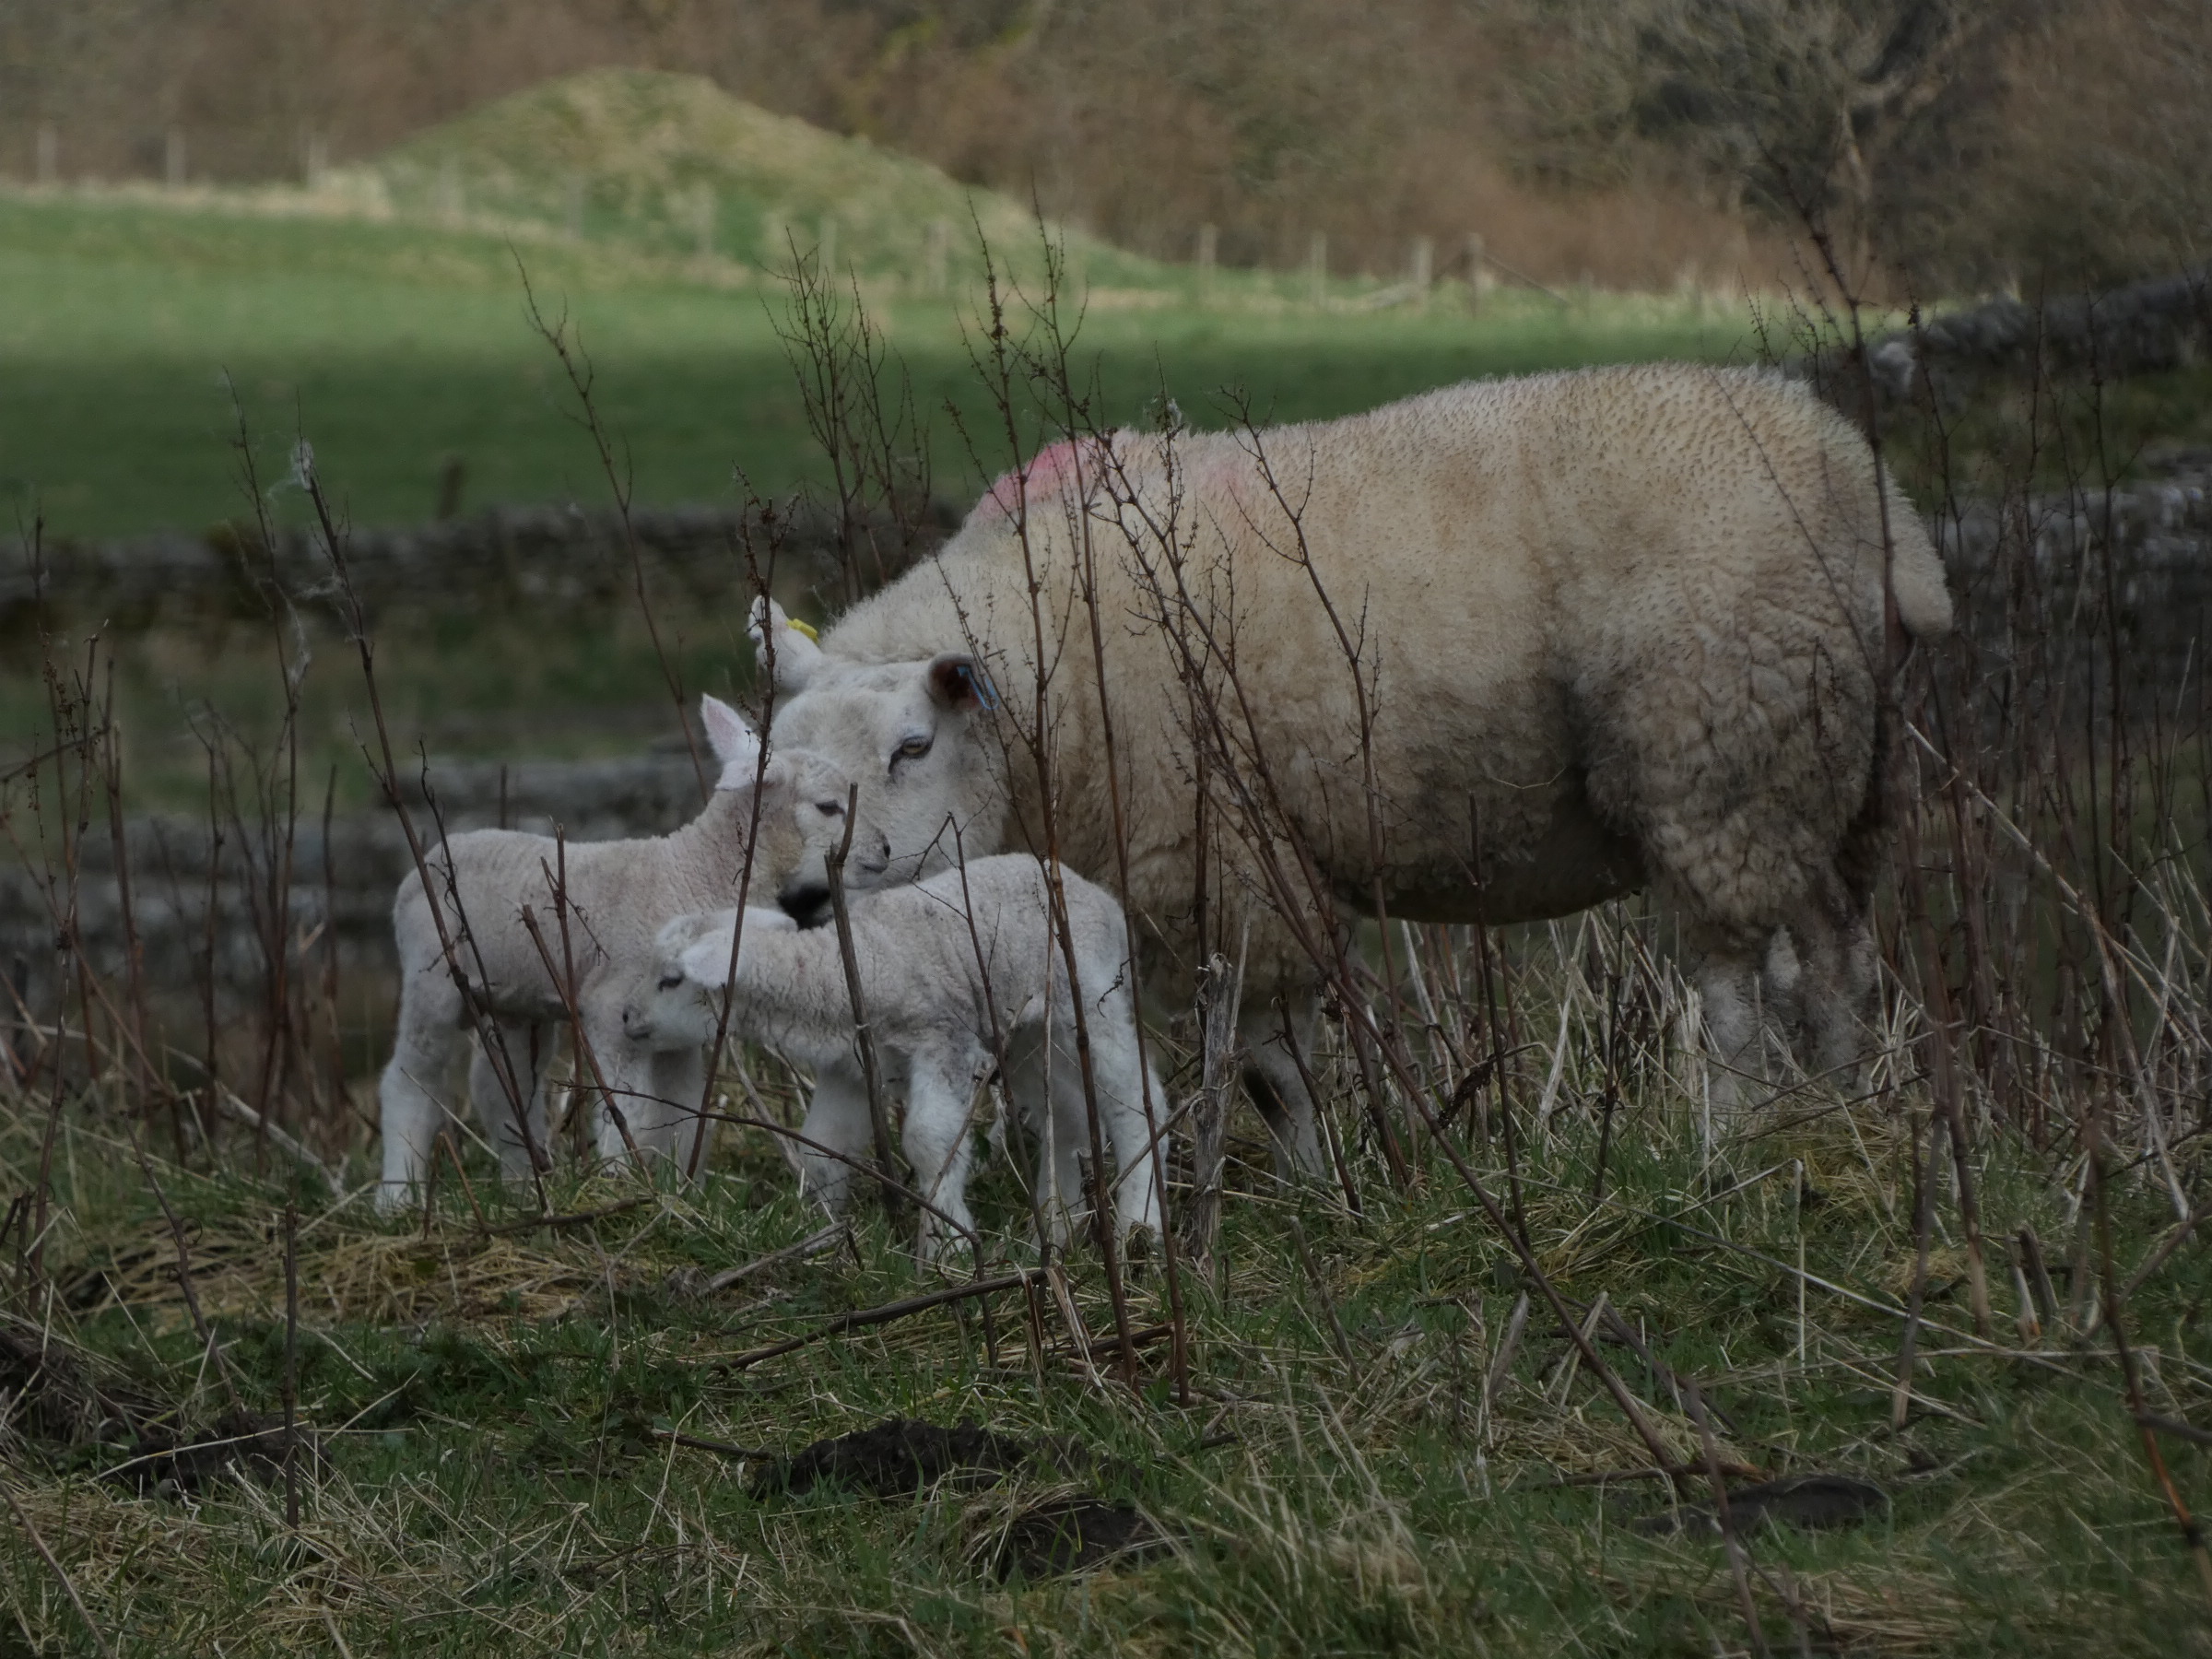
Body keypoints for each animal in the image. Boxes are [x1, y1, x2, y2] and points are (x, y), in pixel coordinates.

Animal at [378, 694, 888, 1212]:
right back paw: (397, 1194)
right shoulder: (612, 1008)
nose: (884, 850)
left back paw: (524, 1187)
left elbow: (683, 1111)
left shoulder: (677, 1022)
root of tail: (431, 857)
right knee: (409, 1080)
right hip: (431, 978)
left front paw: (682, 1189)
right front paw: (622, 1183)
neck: (694, 871)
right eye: (828, 807)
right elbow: (628, 1107)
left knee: (504, 1087)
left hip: (516, 998)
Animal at [619, 863, 1168, 1265]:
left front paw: (948, 1246)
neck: (840, 975)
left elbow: (928, 1140)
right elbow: (821, 1149)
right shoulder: (854, 1068)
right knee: (1067, 1116)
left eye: (671, 980)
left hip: (1090, 999)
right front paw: (824, 1235)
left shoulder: (943, 1040)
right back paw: (1054, 1233)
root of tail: (1101, 898)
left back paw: (1139, 1225)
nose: (626, 1017)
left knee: (1135, 1102)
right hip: (1027, 1034)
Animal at [756, 362, 1955, 1168]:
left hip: (1719, 759)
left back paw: (1724, 1144)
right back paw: (1847, 1116)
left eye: (913, 748)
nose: (809, 897)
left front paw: (1321, 1188)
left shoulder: (1226, 862)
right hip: (1838, 771)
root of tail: (1880, 506)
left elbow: (1272, 1068)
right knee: (1837, 958)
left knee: (1734, 987)